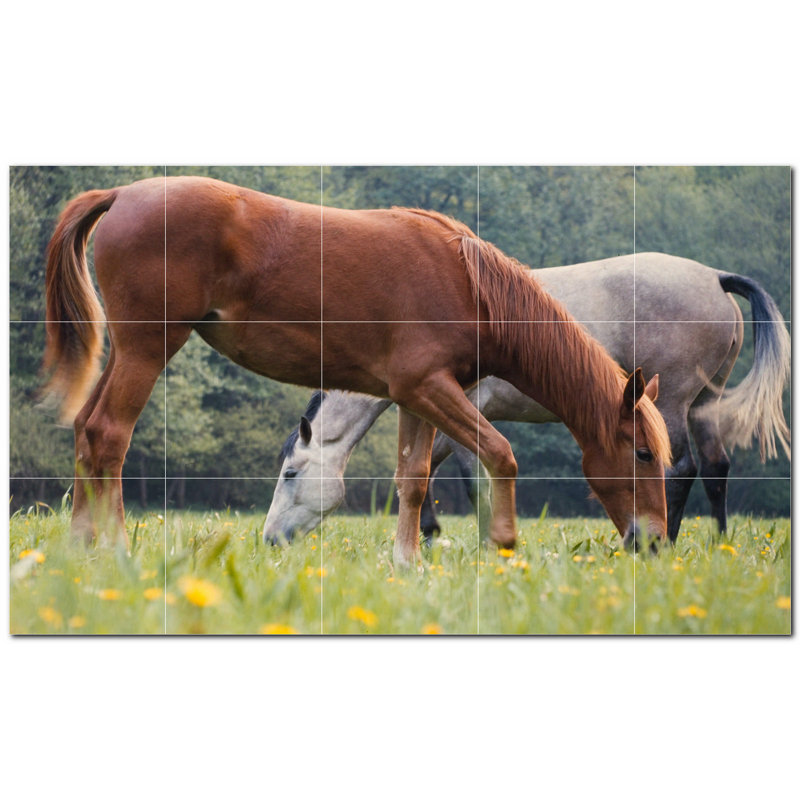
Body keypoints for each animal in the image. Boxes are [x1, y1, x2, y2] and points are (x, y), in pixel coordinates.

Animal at [42, 176, 670, 567]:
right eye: (642, 453)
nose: (655, 543)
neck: (468, 282)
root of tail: (123, 193)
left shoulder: (419, 396)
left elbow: (413, 480)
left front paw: (407, 563)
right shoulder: (429, 389)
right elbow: (500, 454)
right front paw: (504, 544)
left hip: (126, 352)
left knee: (85, 432)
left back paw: (79, 550)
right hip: (148, 349)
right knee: (108, 436)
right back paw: (117, 553)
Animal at [265, 254, 790, 544]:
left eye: (290, 473)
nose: (270, 540)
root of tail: (715, 277)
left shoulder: (465, 410)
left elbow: (466, 477)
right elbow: (423, 470)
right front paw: (432, 537)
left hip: (670, 404)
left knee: (680, 469)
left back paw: (665, 541)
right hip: (703, 402)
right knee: (717, 468)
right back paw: (717, 545)